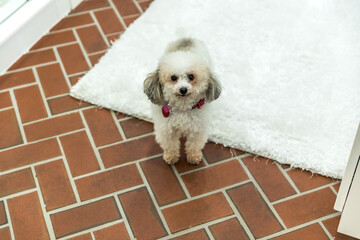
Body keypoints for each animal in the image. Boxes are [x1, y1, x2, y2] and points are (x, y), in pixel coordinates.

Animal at [143, 37, 222, 165]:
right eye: (173, 78)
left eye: (191, 77)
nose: (183, 89)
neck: (183, 109)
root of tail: (186, 38)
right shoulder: (166, 130)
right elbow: (170, 145)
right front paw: (171, 157)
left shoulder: (197, 130)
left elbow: (194, 145)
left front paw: (194, 157)